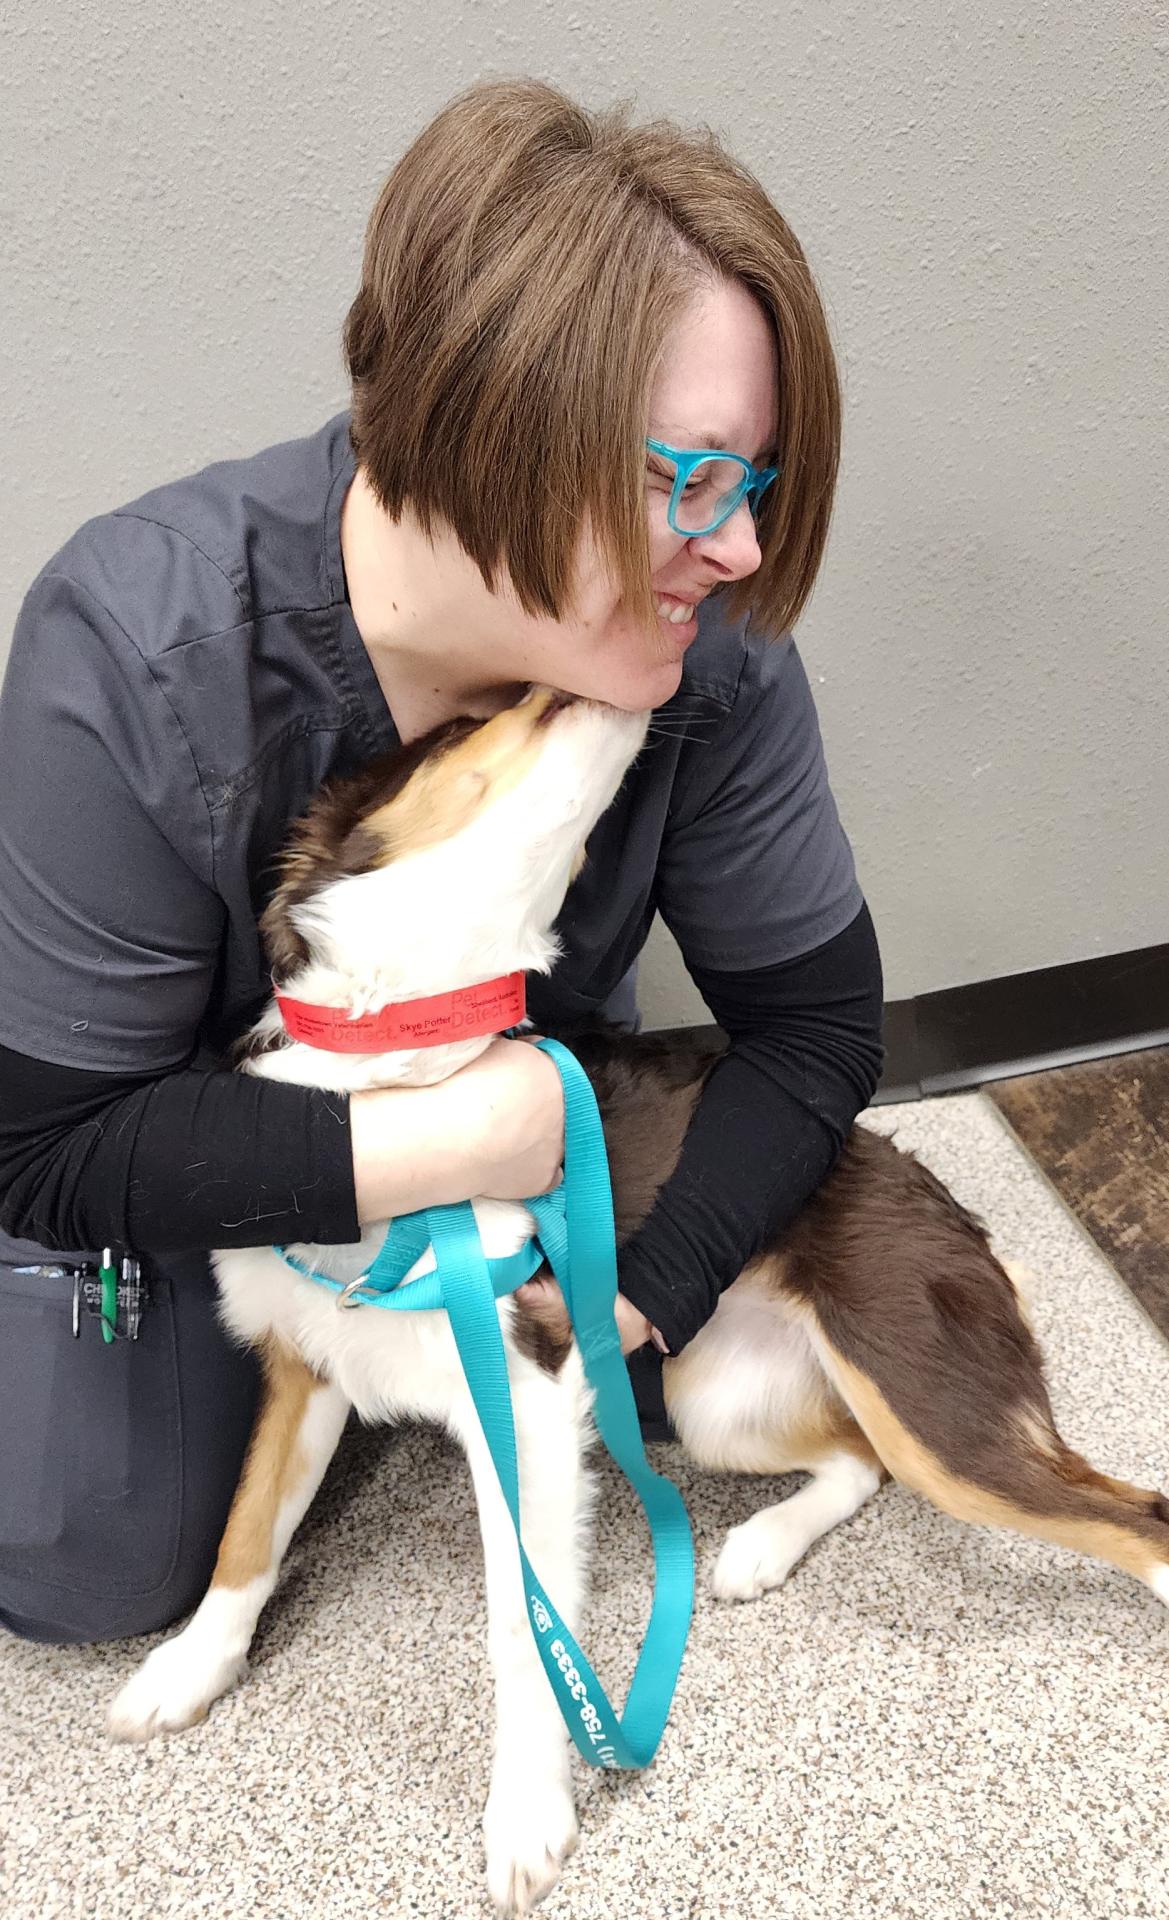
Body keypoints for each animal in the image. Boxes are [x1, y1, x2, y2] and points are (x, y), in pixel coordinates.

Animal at [104, 683, 1167, 1912]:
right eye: (472, 719)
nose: (589, 685)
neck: (399, 1070)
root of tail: (950, 1209)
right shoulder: (307, 1359)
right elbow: (244, 1532)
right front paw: (189, 1669)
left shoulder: (525, 1399)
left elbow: (525, 1634)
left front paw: (526, 1812)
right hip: (711, 1397)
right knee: (858, 1461)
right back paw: (759, 1548)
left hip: (922, 1399)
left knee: (1126, 1516)